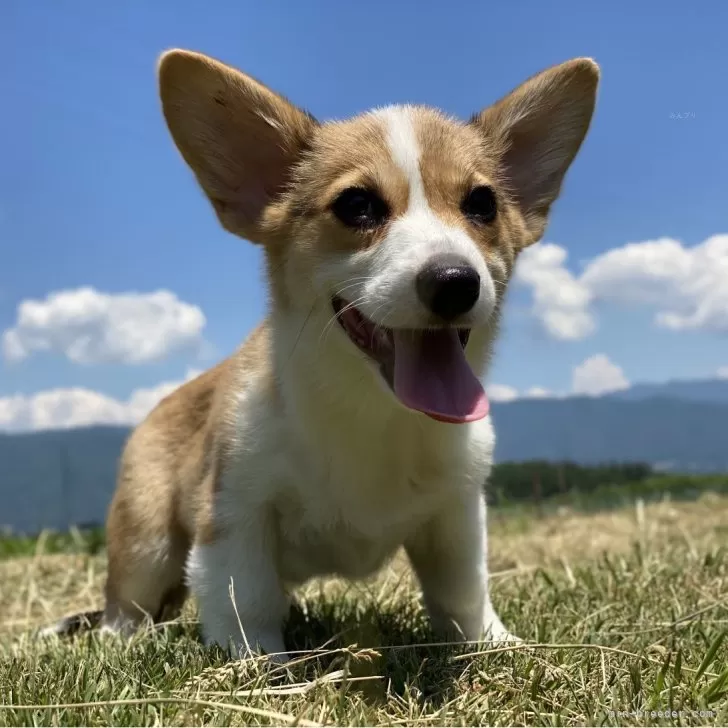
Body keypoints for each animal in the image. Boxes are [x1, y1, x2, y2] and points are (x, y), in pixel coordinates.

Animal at [41, 48, 596, 664]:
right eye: (357, 206)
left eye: (483, 204)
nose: (455, 282)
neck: (371, 410)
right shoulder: (233, 511)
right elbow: (244, 600)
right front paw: (262, 666)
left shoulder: (456, 512)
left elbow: (463, 591)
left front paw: (497, 644)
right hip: (147, 540)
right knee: (128, 606)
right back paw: (122, 640)